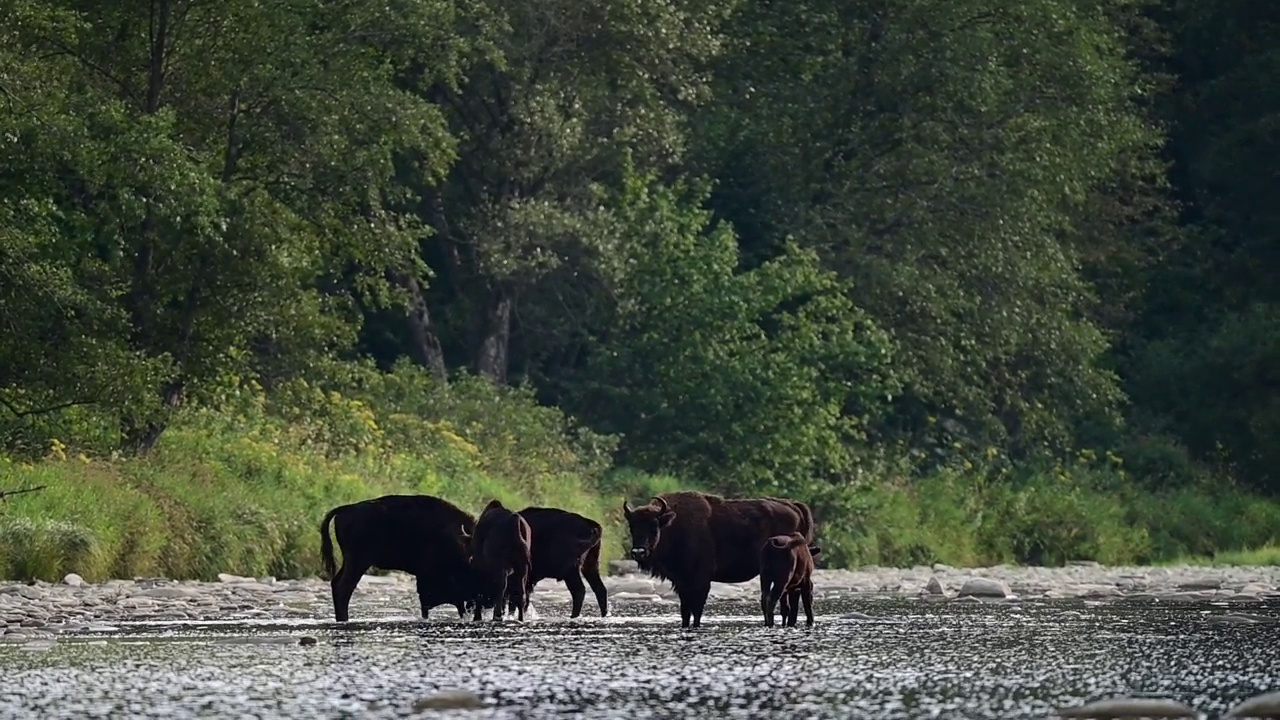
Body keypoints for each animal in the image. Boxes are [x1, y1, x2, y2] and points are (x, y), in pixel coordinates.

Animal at [622, 489, 819, 625]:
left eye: (654, 526)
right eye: (632, 526)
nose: (638, 552)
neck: (674, 524)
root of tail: (794, 506)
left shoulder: (700, 580)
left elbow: (696, 610)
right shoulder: (681, 582)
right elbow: (685, 611)